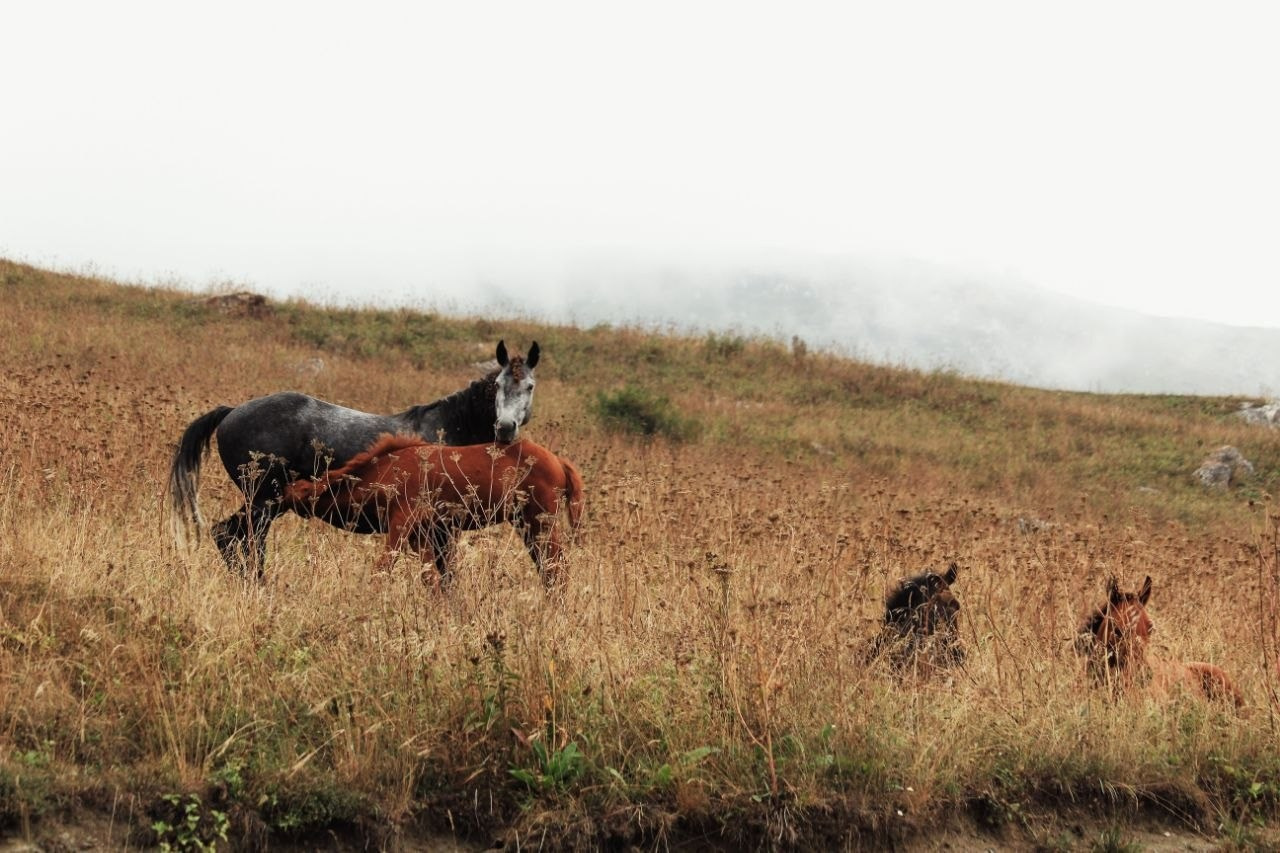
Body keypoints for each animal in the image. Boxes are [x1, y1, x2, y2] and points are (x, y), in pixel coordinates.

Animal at [168, 340, 540, 575]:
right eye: (498, 385)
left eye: (530, 386)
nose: (505, 428)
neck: (449, 428)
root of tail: (232, 411)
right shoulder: (439, 527)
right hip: (263, 500)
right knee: (237, 537)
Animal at [280, 434, 584, 589]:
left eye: (294, 493)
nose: (275, 498)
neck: (385, 470)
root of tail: (559, 461)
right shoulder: (423, 535)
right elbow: (432, 578)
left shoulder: (402, 523)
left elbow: (382, 569)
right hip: (527, 526)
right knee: (548, 569)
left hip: (541, 524)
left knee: (557, 569)